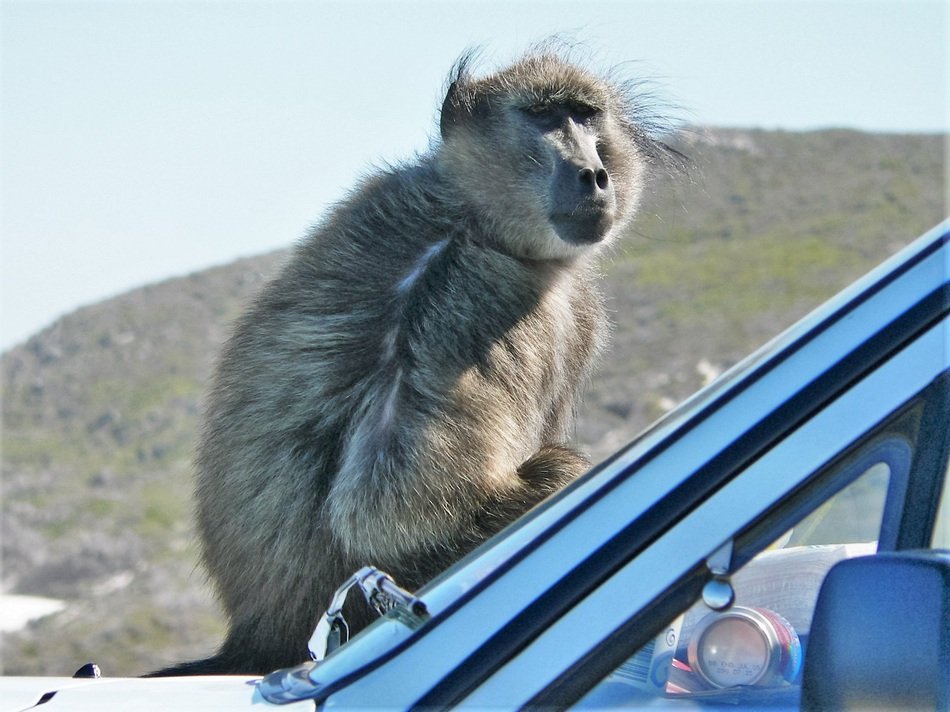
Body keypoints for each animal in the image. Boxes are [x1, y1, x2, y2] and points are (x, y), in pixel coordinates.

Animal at [156, 48, 678, 676]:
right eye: (543, 117)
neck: (467, 212)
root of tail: (255, 638)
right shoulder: (476, 294)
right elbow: (384, 513)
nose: (594, 174)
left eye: (585, 114)